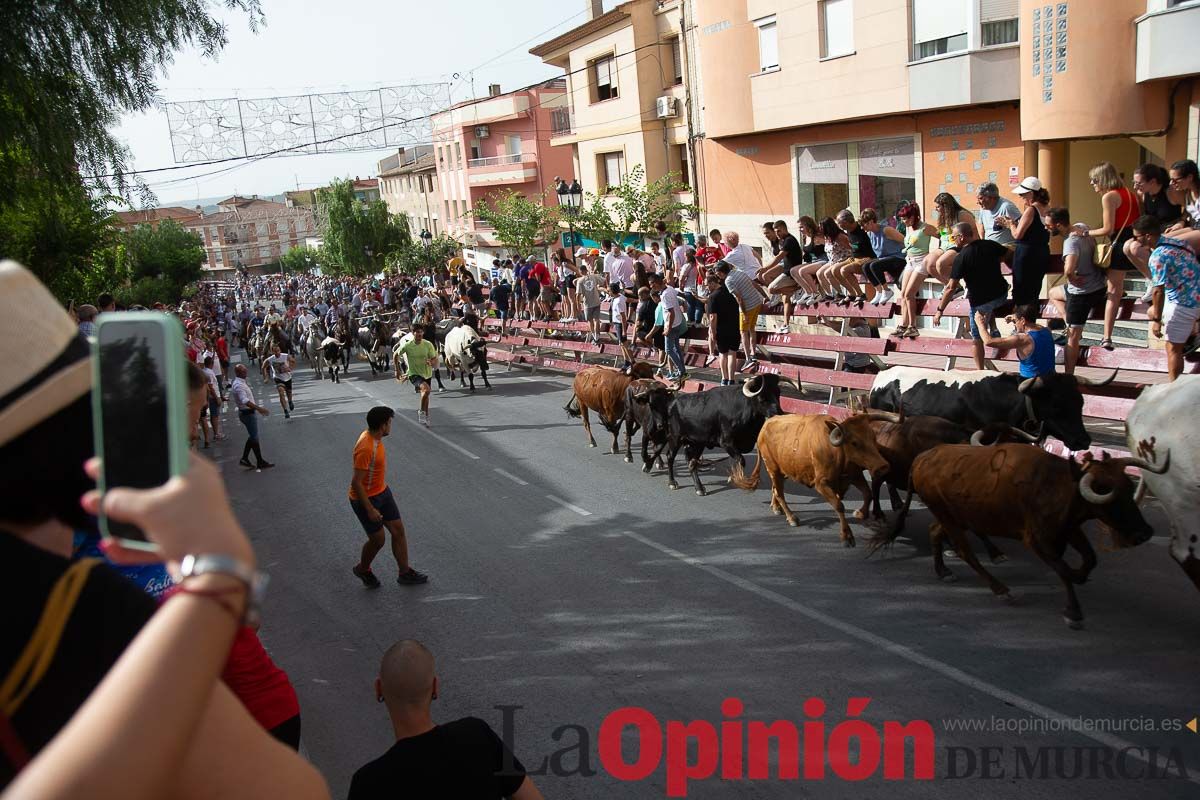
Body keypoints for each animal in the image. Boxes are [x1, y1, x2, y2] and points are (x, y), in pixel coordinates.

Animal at [657, 374, 796, 494]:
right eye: (762, 397)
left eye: (778, 393)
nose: (779, 413)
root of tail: (673, 403)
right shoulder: (726, 442)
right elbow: (741, 459)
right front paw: (735, 478)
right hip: (675, 438)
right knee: (670, 457)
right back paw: (672, 482)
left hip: (697, 442)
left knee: (691, 461)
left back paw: (699, 488)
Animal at [724, 410, 897, 546]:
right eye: (855, 443)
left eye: (873, 438)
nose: (883, 466)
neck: (836, 451)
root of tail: (765, 425)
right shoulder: (821, 484)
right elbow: (839, 505)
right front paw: (847, 535)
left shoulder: (854, 476)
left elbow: (868, 493)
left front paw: (861, 513)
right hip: (772, 468)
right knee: (779, 493)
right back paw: (791, 517)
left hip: (783, 470)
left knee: (775, 489)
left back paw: (776, 507)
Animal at [868, 448, 1166, 628]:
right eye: (1110, 496)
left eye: (1129, 489)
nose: (1144, 533)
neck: (1058, 483)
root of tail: (922, 458)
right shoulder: (1036, 538)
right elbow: (1062, 569)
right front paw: (1073, 613)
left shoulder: (1069, 529)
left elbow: (1088, 559)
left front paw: (1080, 576)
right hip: (948, 515)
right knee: (965, 551)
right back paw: (1001, 589)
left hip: (952, 516)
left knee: (936, 533)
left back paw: (944, 571)